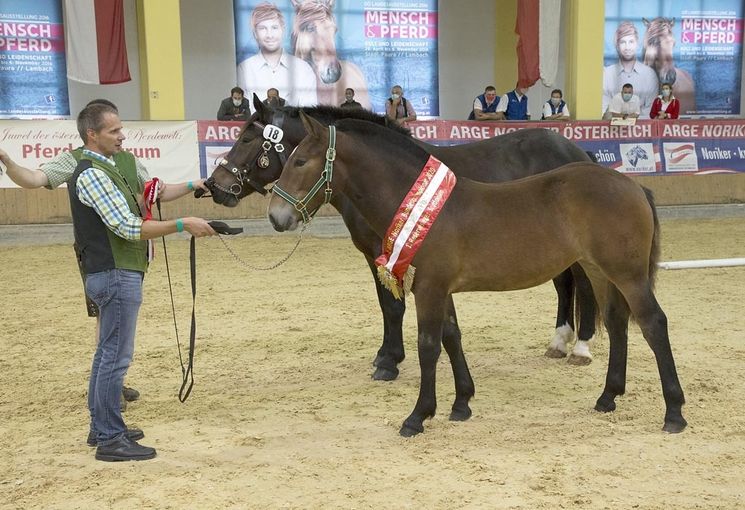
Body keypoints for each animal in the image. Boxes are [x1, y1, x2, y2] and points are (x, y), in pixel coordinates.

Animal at [203, 96, 600, 382]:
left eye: (248, 138)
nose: (215, 186)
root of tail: (575, 150)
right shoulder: (376, 255)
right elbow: (385, 305)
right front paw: (386, 355)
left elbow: (394, 307)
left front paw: (388, 364)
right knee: (564, 286)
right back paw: (559, 342)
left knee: (582, 284)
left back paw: (580, 347)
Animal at [268, 113, 684, 436]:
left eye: (300, 161)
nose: (276, 217)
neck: (421, 204)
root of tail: (634, 184)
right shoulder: (439, 288)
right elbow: (452, 337)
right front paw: (462, 403)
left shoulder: (429, 288)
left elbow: (428, 345)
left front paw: (417, 416)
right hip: (600, 271)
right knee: (616, 323)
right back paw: (607, 397)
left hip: (627, 275)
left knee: (653, 323)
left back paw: (674, 412)